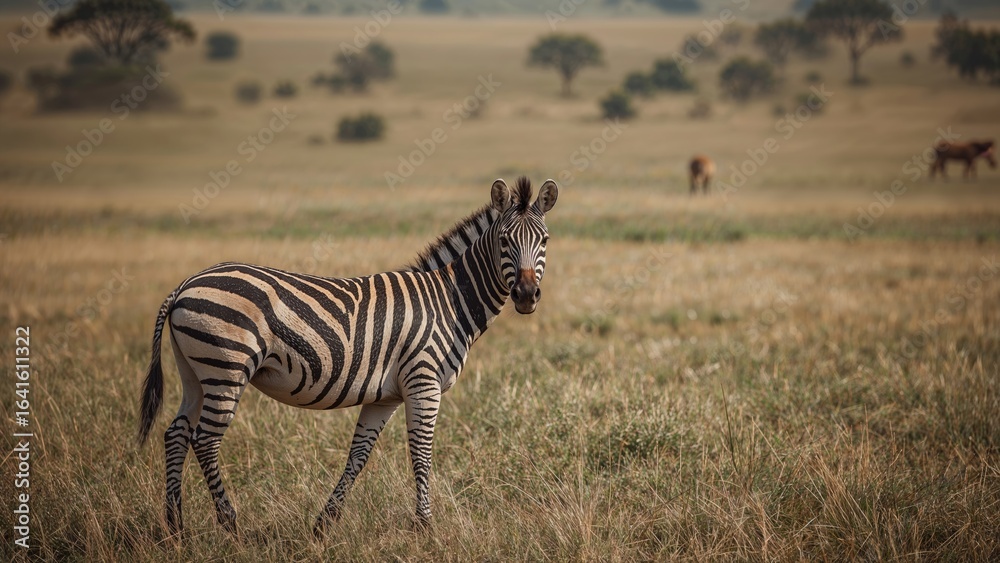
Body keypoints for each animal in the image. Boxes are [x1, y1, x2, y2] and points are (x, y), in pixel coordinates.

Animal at [137, 176, 558, 536]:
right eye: (504, 240)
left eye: (544, 241)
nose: (525, 295)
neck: (449, 300)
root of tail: (184, 286)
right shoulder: (423, 382)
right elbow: (421, 453)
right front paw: (424, 527)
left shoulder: (386, 396)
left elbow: (358, 455)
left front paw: (325, 524)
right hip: (227, 368)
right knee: (205, 440)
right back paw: (230, 525)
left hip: (196, 373)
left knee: (176, 433)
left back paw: (176, 528)